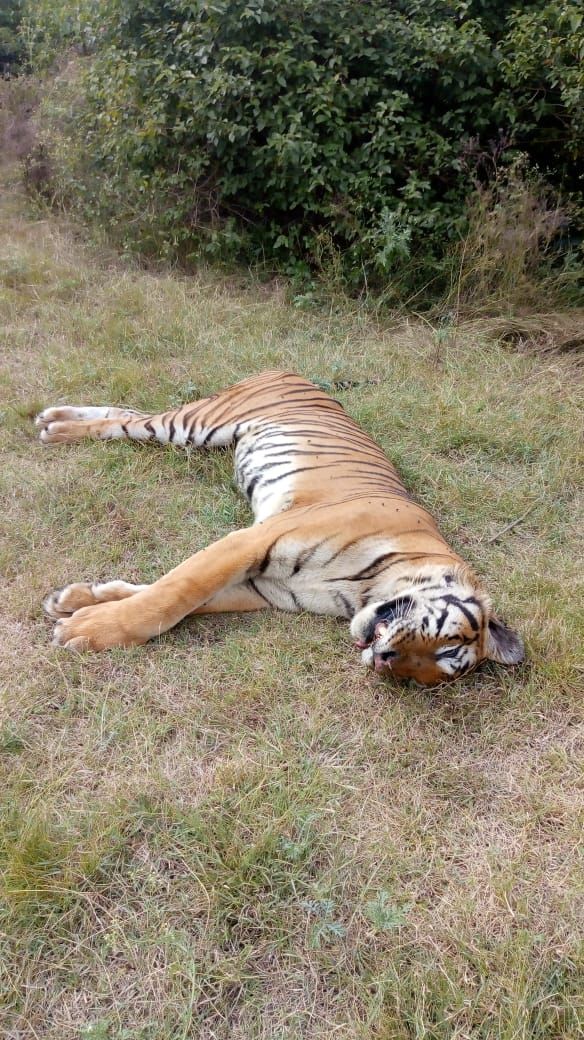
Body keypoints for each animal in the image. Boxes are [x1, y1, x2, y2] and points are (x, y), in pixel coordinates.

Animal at [35, 370, 524, 685]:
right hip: (198, 424)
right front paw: (84, 630)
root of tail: (293, 371)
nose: (383, 660)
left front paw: (77, 601)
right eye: (445, 646)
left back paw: (52, 417)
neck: (363, 591)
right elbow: (170, 596)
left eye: (419, 675)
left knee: (129, 415)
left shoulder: (262, 589)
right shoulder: (251, 541)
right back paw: (56, 429)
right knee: (124, 422)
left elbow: (170, 594)